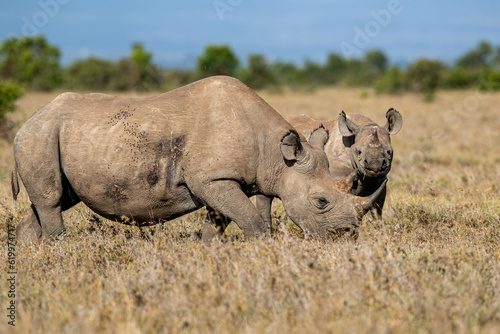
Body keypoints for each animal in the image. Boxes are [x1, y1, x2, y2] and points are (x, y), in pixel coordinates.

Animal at [11, 75, 386, 243]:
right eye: (321, 201)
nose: (347, 236)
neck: (277, 156)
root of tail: (28, 120)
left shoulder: (222, 180)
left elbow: (218, 220)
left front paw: (208, 250)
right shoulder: (213, 178)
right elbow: (252, 220)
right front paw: (263, 248)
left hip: (54, 136)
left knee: (57, 199)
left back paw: (35, 251)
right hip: (39, 136)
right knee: (51, 200)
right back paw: (59, 247)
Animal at [258, 109, 402, 224]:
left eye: (389, 152)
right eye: (359, 152)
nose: (375, 165)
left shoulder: (379, 180)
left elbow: (377, 209)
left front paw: (379, 230)